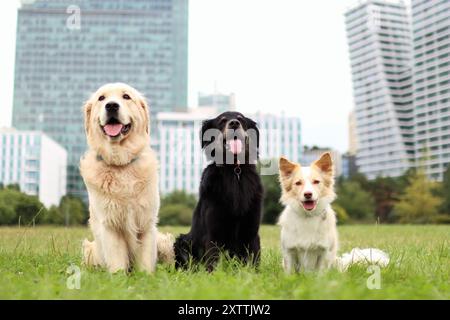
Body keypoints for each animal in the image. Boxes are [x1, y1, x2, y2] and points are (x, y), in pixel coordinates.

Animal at [80, 82, 173, 272]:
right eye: (101, 98)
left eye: (126, 97)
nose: (111, 106)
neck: (121, 164)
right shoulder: (110, 224)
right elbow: (117, 263)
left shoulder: (146, 223)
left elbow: (145, 262)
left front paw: (146, 276)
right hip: (90, 249)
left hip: (164, 242)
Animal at [173, 111, 264, 272]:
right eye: (222, 120)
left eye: (241, 119)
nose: (234, 123)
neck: (234, 170)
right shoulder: (213, 232)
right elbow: (213, 261)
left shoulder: (251, 231)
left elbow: (254, 260)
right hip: (182, 242)